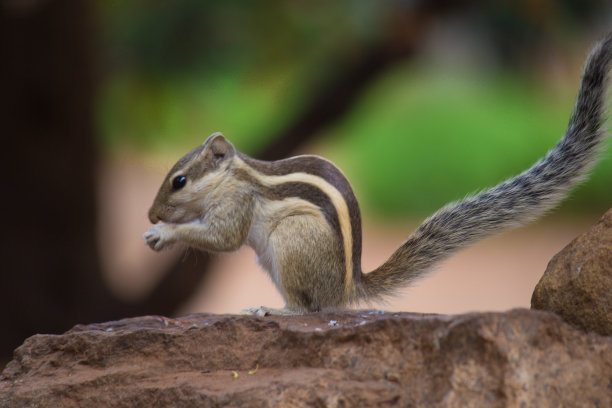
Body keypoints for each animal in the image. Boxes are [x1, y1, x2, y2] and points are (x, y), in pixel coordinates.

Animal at [145, 34, 612, 316]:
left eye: (179, 181)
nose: (151, 215)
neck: (233, 177)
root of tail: (347, 289)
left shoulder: (238, 205)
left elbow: (223, 238)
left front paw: (165, 234)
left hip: (291, 241)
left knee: (309, 309)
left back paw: (273, 309)